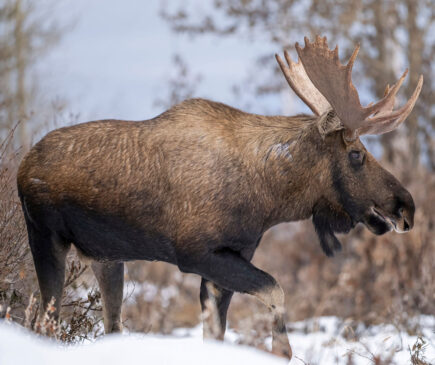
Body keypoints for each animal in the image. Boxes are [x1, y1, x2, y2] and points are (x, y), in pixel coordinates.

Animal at [17, 37, 422, 358]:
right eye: (356, 154)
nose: (407, 206)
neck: (269, 199)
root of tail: (22, 165)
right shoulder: (197, 254)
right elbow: (277, 292)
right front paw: (280, 347)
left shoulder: (231, 257)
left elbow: (216, 332)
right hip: (45, 236)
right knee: (43, 321)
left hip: (107, 257)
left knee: (109, 324)